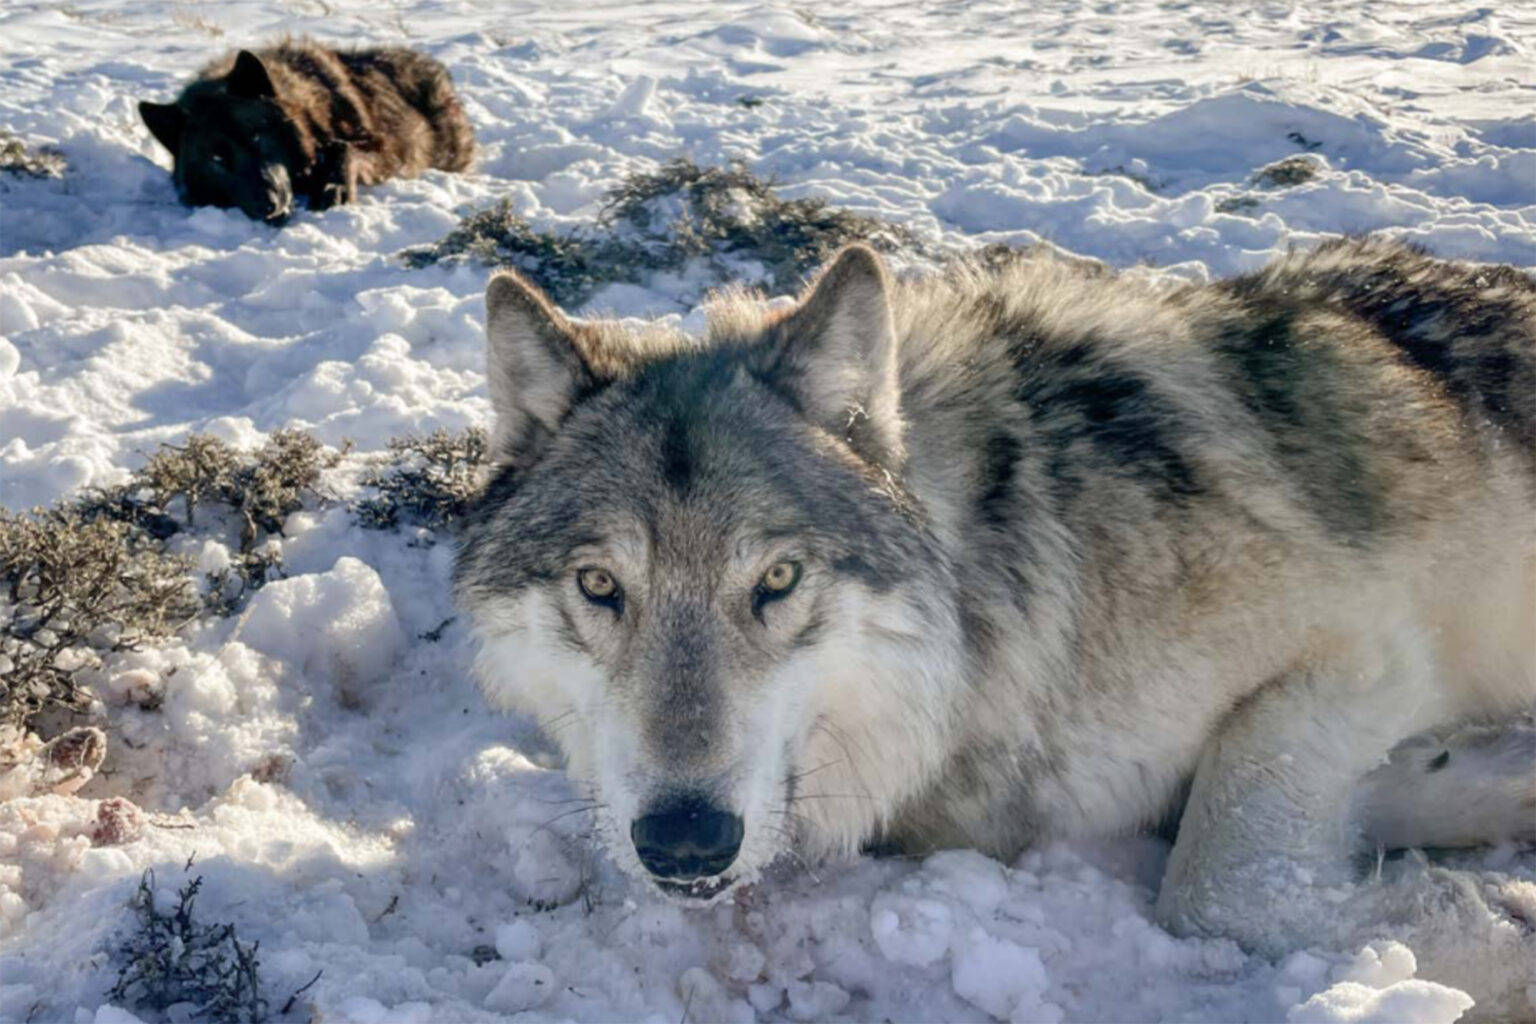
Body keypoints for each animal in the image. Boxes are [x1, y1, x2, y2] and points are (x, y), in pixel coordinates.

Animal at [139, 41, 473, 223]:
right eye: (216, 159)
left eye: (256, 137)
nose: (268, 205)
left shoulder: (380, 149)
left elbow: (342, 147)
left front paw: (334, 188)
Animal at [456, 238, 1536, 1012]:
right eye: (601, 585)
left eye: (778, 578)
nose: (685, 841)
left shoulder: (1364, 649)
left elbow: (1218, 886)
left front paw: (1474, 933)